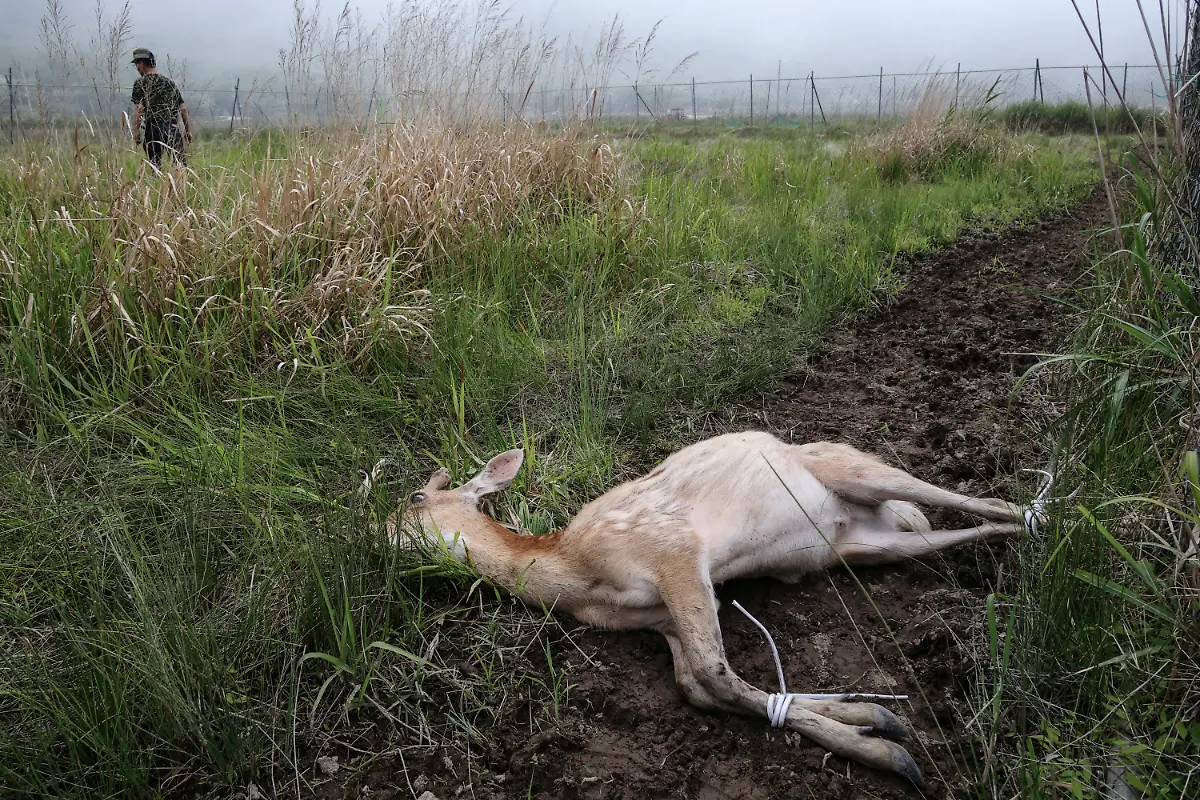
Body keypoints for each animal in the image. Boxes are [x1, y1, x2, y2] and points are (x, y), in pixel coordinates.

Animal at [386, 430, 1035, 788]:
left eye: (415, 497)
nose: (374, 536)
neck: (575, 572)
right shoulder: (660, 619)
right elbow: (698, 685)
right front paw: (873, 719)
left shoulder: (675, 551)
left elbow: (714, 671)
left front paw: (886, 750)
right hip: (865, 547)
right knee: (957, 529)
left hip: (859, 469)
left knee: (969, 498)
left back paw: (1042, 516)